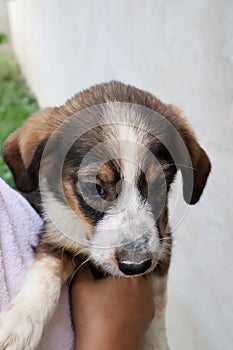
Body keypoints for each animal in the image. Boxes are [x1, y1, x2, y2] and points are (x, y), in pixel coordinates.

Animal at [0, 80, 211, 348]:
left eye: (160, 185)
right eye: (95, 188)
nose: (135, 266)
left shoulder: (163, 244)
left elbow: (158, 305)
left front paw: (156, 343)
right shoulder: (55, 236)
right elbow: (45, 277)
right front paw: (18, 325)